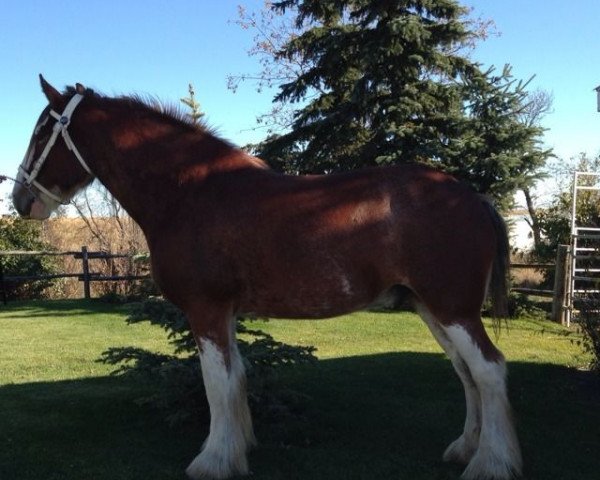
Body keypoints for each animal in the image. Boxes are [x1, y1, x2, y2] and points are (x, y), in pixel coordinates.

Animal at [11, 77, 524, 478]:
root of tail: (473, 197)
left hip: (453, 309)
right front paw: (238, 447)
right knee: (465, 373)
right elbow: (236, 377)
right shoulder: (225, 313)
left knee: (489, 369)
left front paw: (213, 461)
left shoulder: (206, 310)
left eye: (40, 133)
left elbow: (216, 383)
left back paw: (492, 463)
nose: (20, 200)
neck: (190, 193)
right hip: (430, 308)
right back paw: (465, 450)